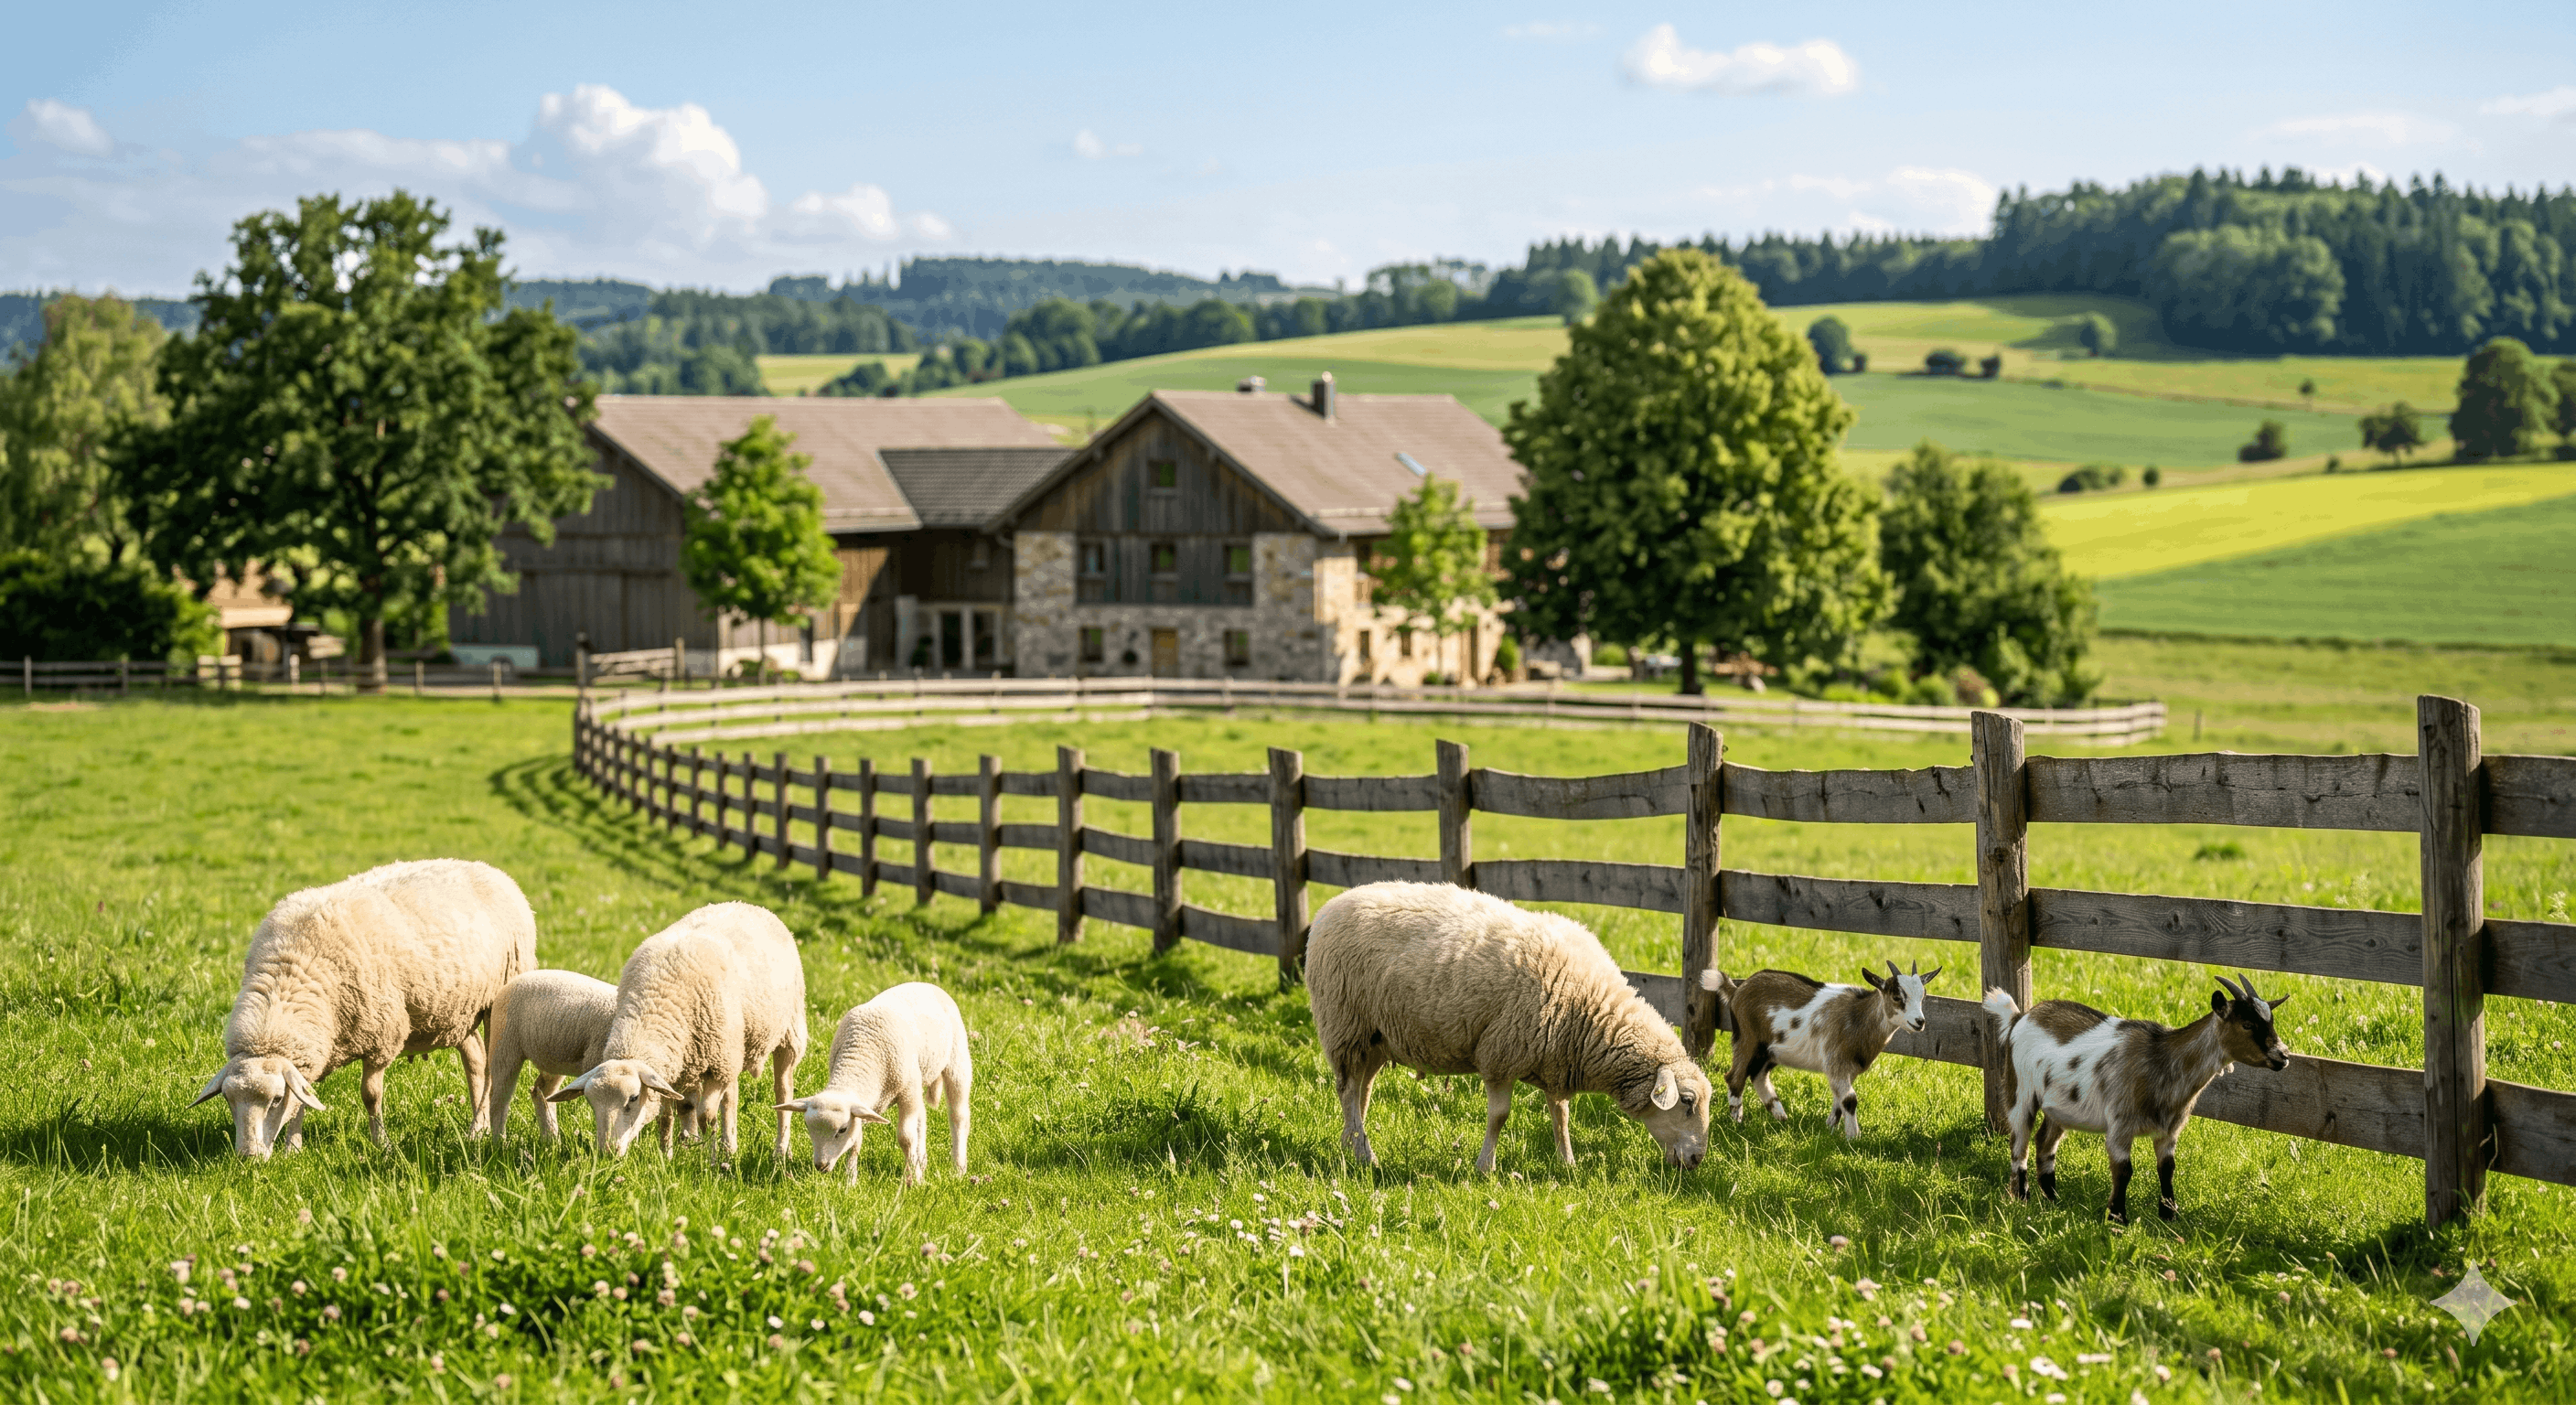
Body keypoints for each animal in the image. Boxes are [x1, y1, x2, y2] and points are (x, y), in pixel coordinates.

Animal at [1701, 961, 1937, 1138]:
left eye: (1923, 996)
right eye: (1897, 997)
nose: (1920, 1022)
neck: (1857, 1017)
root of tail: (1736, 989)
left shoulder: (1846, 1069)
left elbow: (1839, 1100)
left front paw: (1830, 1129)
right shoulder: (1836, 1060)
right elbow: (1849, 1099)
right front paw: (1853, 1137)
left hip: (1769, 1051)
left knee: (1758, 1076)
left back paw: (1781, 1116)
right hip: (1746, 1039)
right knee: (1735, 1076)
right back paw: (1737, 1121)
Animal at [1984, 972, 2292, 1224]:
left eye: (2271, 1021)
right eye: (2247, 1024)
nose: (2283, 1055)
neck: (2161, 1061)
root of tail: (2020, 1017)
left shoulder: (2169, 1130)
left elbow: (2167, 1168)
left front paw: (2169, 1215)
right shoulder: (2120, 1124)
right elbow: (2124, 1170)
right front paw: (2117, 1218)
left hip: (2059, 1108)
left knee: (2045, 1142)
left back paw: (2053, 1199)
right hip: (2020, 1092)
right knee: (2019, 1143)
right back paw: (2022, 1198)